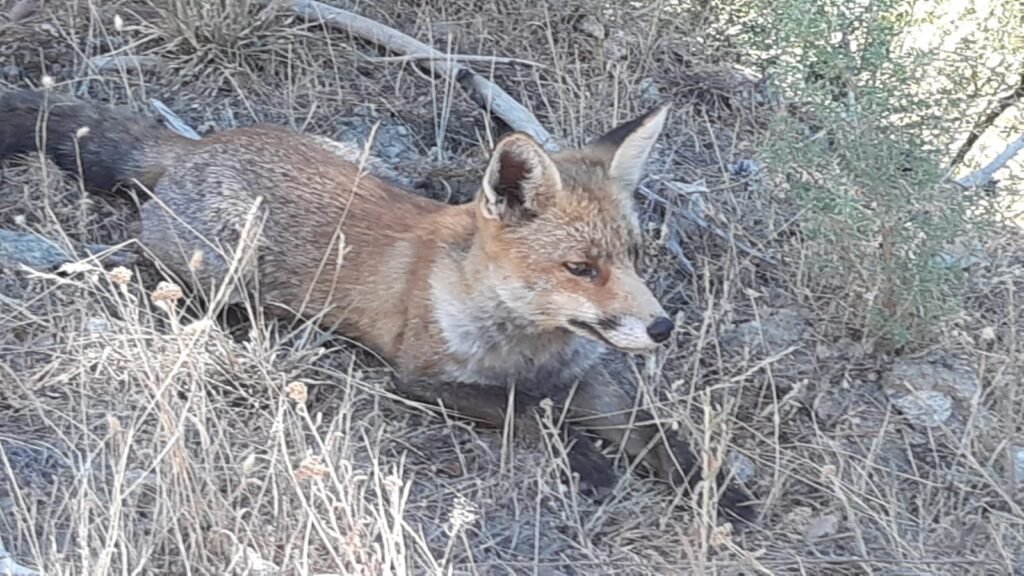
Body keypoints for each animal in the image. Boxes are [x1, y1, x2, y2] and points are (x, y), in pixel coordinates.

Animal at [0, 88, 756, 523]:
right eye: (581, 269)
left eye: (634, 257)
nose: (661, 326)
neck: (529, 347)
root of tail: (197, 147)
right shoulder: (421, 378)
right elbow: (529, 415)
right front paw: (588, 462)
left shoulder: (591, 379)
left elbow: (662, 437)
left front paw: (716, 489)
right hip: (222, 269)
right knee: (158, 272)